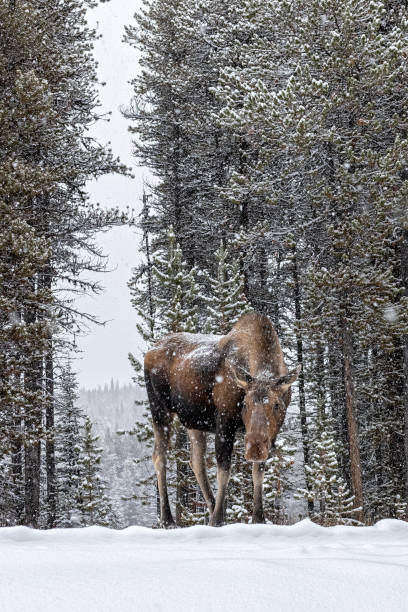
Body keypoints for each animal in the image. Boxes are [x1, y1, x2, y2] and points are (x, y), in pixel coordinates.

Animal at [145, 310, 298, 524]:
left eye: (276, 404)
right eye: (245, 404)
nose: (255, 447)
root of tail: (149, 351)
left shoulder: (271, 435)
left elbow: (258, 471)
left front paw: (258, 517)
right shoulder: (224, 423)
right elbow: (224, 470)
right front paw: (217, 520)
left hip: (193, 422)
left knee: (196, 461)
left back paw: (209, 507)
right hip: (160, 410)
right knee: (159, 456)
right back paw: (167, 518)